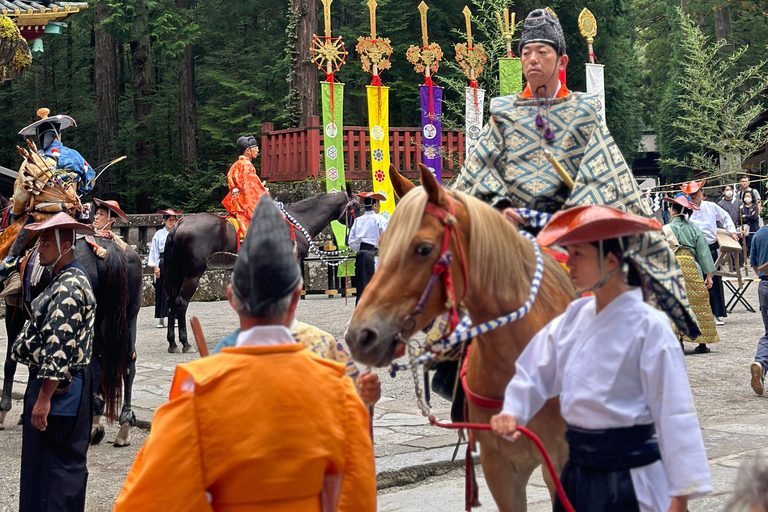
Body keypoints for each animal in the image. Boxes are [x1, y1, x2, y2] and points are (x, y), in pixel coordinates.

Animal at [0, 236, 142, 448]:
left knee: (98, 358)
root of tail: (110, 248)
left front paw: (5, 410)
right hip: (127, 313)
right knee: (124, 361)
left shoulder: (13, 310)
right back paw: (119, 425)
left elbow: (11, 362)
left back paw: (94, 422)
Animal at [163, 187, 360, 352]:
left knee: (171, 302)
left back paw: (173, 343)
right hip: (192, 274)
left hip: (178, 274)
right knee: (181, 302)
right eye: (357, 207)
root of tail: (180, 224)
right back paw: (185, 343)